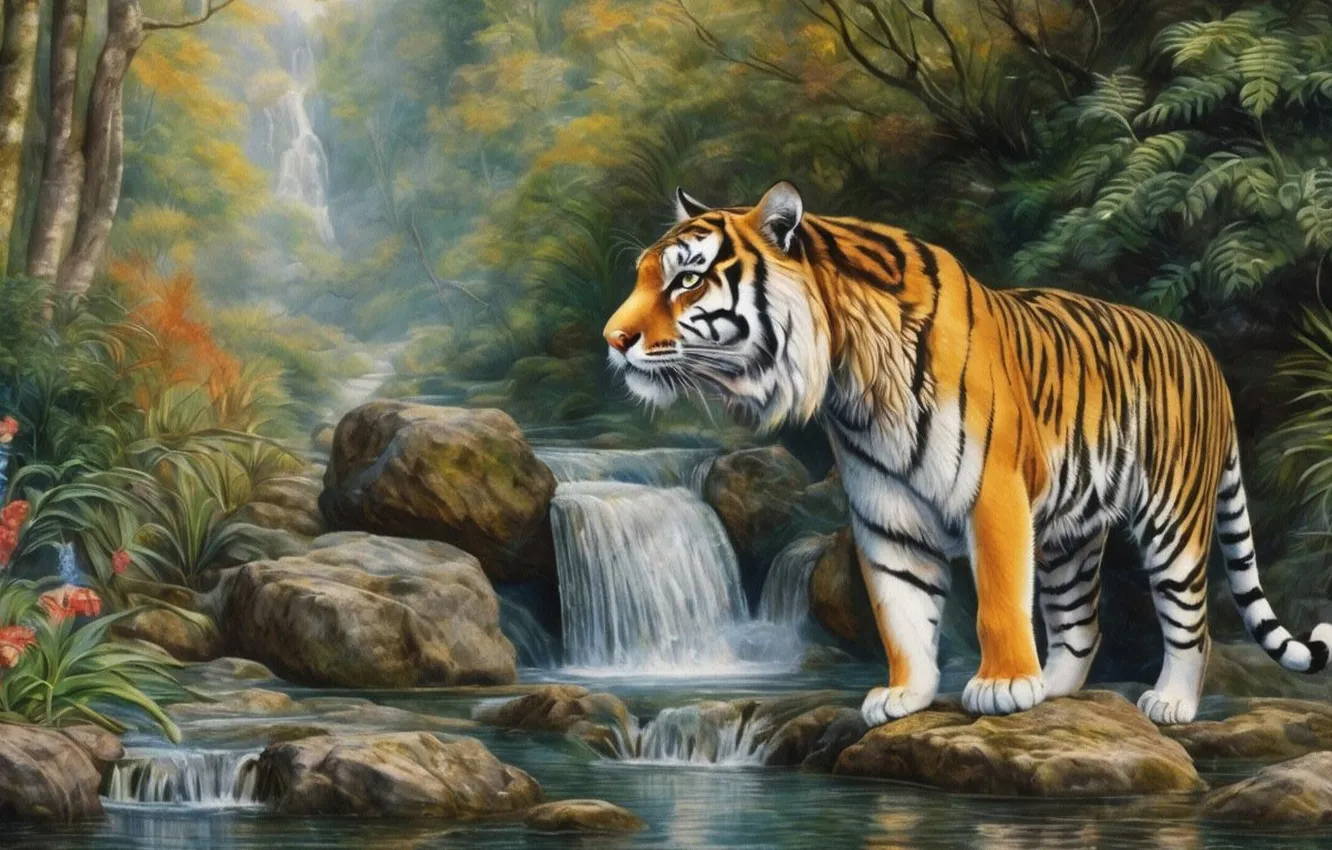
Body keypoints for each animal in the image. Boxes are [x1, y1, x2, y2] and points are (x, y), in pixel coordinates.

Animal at [603, 180, 1332, 726]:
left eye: (687, 281)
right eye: (641, 276)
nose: (612, 339)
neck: (852, 378)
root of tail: (1204, 352)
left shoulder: (994, 491)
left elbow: (999, 602)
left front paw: (1003, 685)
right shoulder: (885, 511)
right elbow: (900, 609)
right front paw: (906, 694)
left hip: (1172, 519)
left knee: (1190, 622)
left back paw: (1170, 702)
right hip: (1070, 537)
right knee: (1080, 624)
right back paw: (1054, 689)